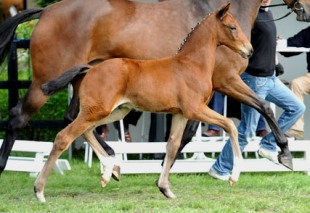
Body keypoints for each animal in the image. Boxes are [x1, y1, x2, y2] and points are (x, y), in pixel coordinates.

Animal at [0, 0, 310, 176]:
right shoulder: (227, 80)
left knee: (73, 119)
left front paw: (166, 163)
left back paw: (111, 158)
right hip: (45, 82)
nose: (306, 10)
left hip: (86, 86)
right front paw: (283, 153)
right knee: (19, 117)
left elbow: (189, 132)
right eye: (232, 28)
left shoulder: (202, 96)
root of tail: (47, 10)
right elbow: (263, 106)